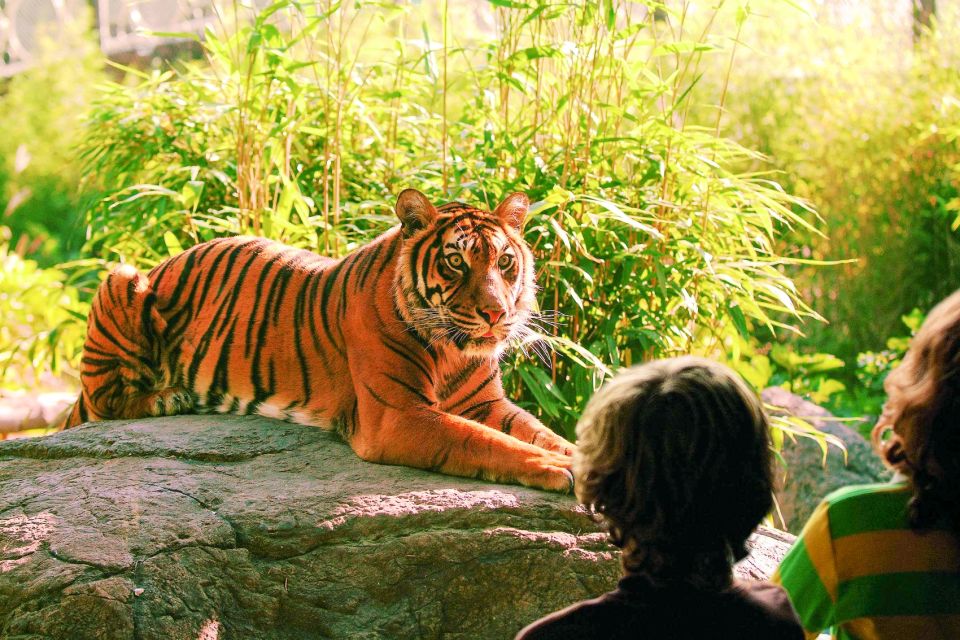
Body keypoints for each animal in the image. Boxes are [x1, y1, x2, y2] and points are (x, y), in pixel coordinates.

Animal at [67, 189, 576, 490]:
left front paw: (573, 456)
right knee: (104, 401)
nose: (495, 314)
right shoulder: (398, 415)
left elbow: (539, 432)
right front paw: (558, 469)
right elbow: (484, 441)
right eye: (455, 261)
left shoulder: (485, 403)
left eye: (505, 262)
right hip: (121, 277)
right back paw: (168, 398)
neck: (453, 352)